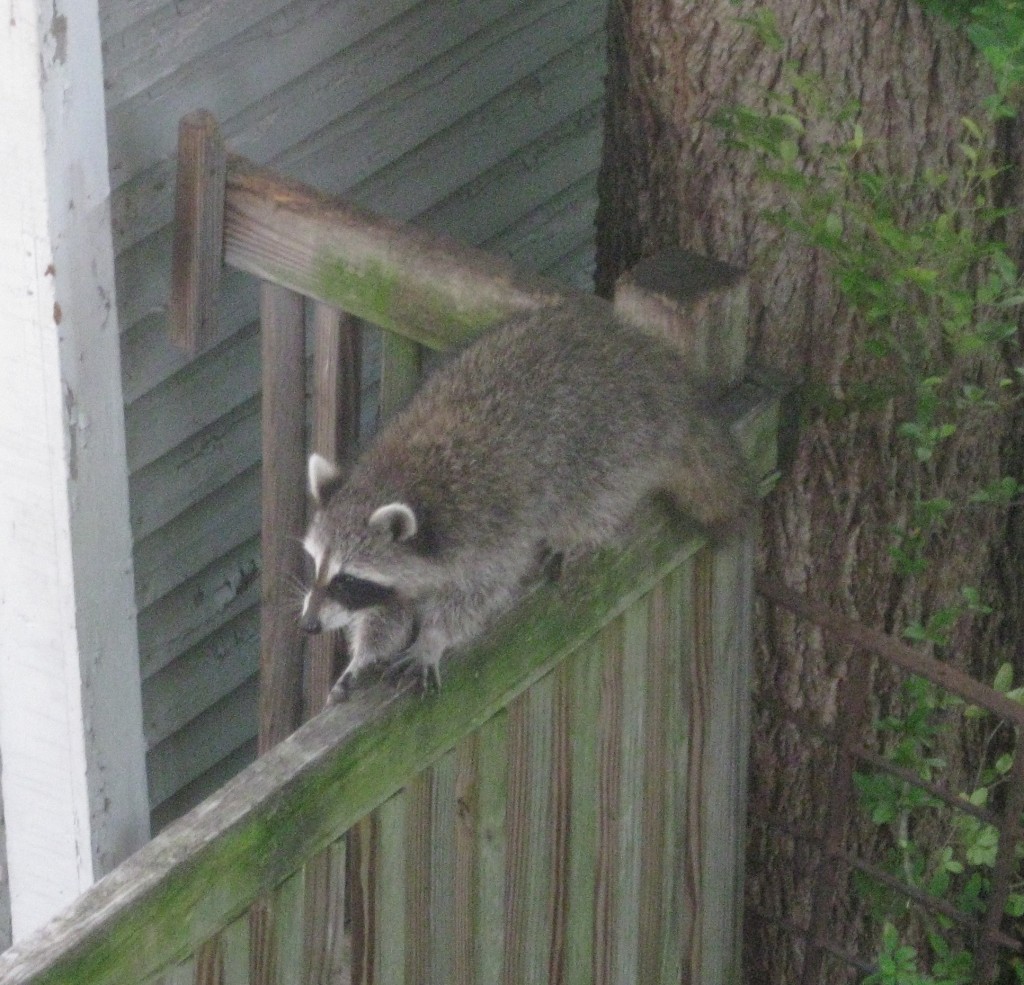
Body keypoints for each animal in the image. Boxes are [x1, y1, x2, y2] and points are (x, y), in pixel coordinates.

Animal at [300, 300, 754, 701]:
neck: (397, 480)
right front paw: (364, 654)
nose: (308, 625)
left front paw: (434, 637)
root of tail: (652, 363)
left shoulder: (490, 532)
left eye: (347, 579)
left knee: (595, 499)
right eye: (315, 564)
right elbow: (388, 610)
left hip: (618, 442)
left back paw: (574, 534)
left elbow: (477, 594)